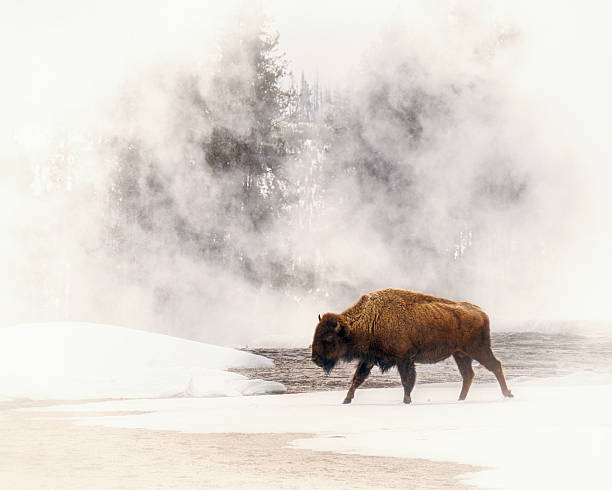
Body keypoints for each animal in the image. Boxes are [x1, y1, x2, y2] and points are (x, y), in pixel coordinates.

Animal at [310, 290, 512, 404]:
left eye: (329, 337)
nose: (315, 359)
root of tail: (481, 312)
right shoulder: (368, 359)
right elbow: (357, 379)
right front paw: (346, 400)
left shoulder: (404, 359)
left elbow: (407, 380)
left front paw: (406, 400)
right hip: (460, 354)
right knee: (468, 375)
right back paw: (460, 399)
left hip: (477, 349)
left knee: (495, 365)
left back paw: (507, 394)